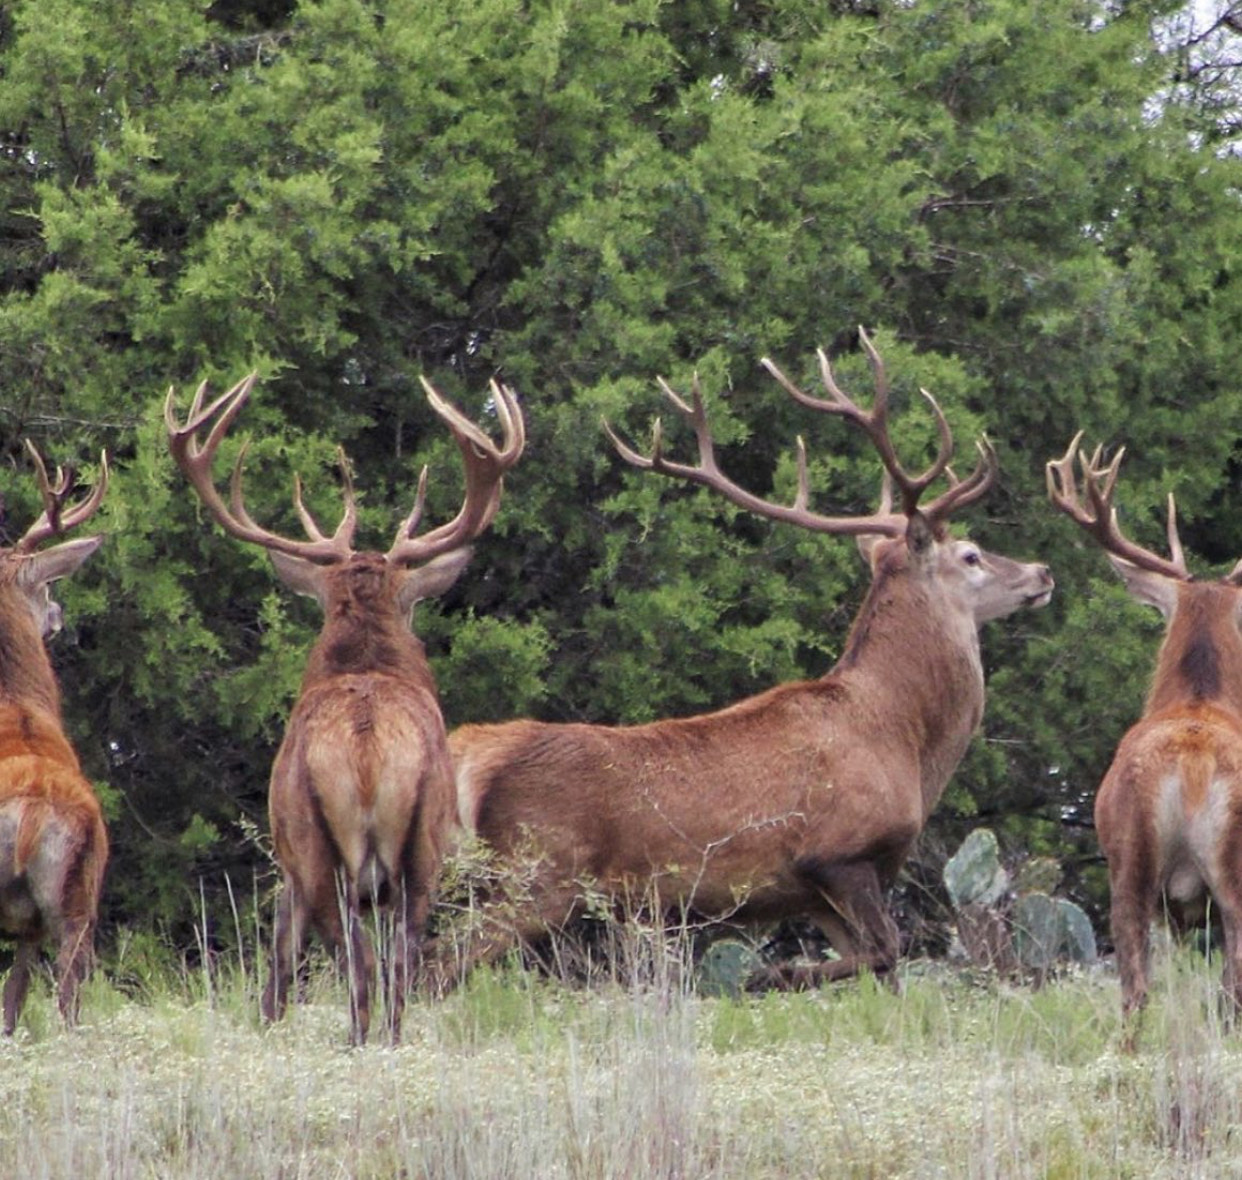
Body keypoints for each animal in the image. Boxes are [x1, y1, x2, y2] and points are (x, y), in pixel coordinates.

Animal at [162, 377, 521, 1043]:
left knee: (359, 963)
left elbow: (280, 958)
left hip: (317, 847)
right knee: (403, 958)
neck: (363, 667)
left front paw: (268, 1022)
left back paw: (356, 1043)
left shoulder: (288, 860)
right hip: (426, 843)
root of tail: (367, 746)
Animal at [434, 335, 1048, 998]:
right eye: (972, 555)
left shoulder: (816, 895)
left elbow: (883, 972)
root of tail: (470, 753)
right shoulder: (842, 853)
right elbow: (886, 951)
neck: (903, 737)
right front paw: (771, 973)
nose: (1041, 572)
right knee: (431, 962)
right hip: (535, 875)